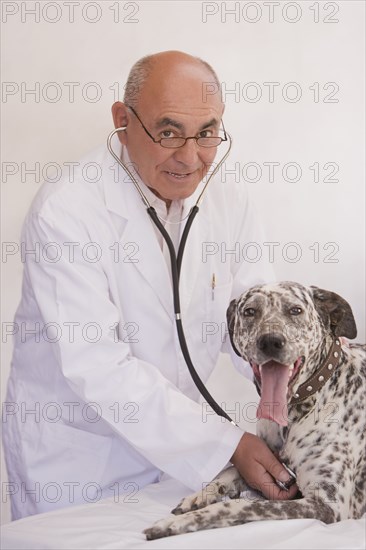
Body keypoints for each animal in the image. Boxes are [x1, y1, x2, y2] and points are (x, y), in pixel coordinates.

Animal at [144, 282, 364, 540]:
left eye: (296, 310)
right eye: (250, 311)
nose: (270, 341)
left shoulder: (327, 505)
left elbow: (238, 505)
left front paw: (178, 522)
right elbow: (231, 470)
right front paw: (201, 495)